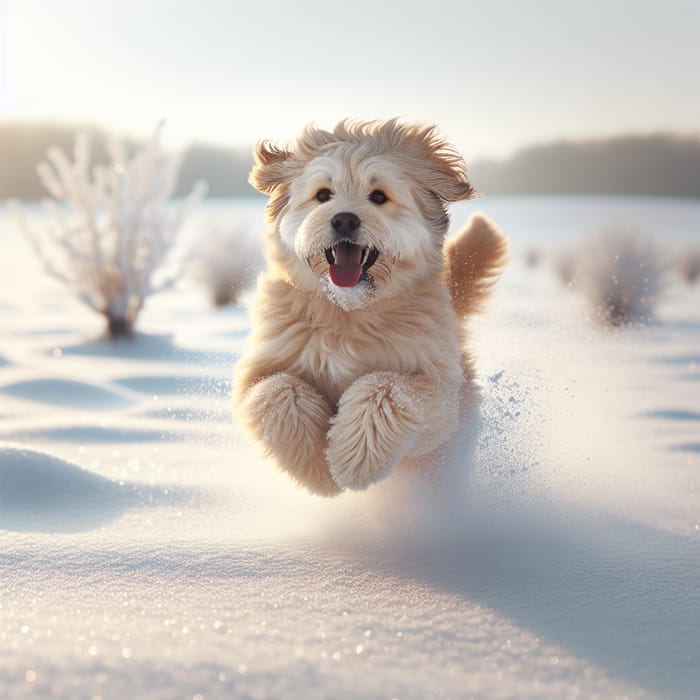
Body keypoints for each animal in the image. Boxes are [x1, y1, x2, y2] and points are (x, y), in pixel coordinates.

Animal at [232, 117, 506, 494]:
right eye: (323, 195)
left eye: (378, 196)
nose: (344, 219)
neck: (348, 312)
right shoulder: (261, 367)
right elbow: (279, 390)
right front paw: (315, 467)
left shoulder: (439, 393)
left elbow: (383, 387)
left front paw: (352, 463)